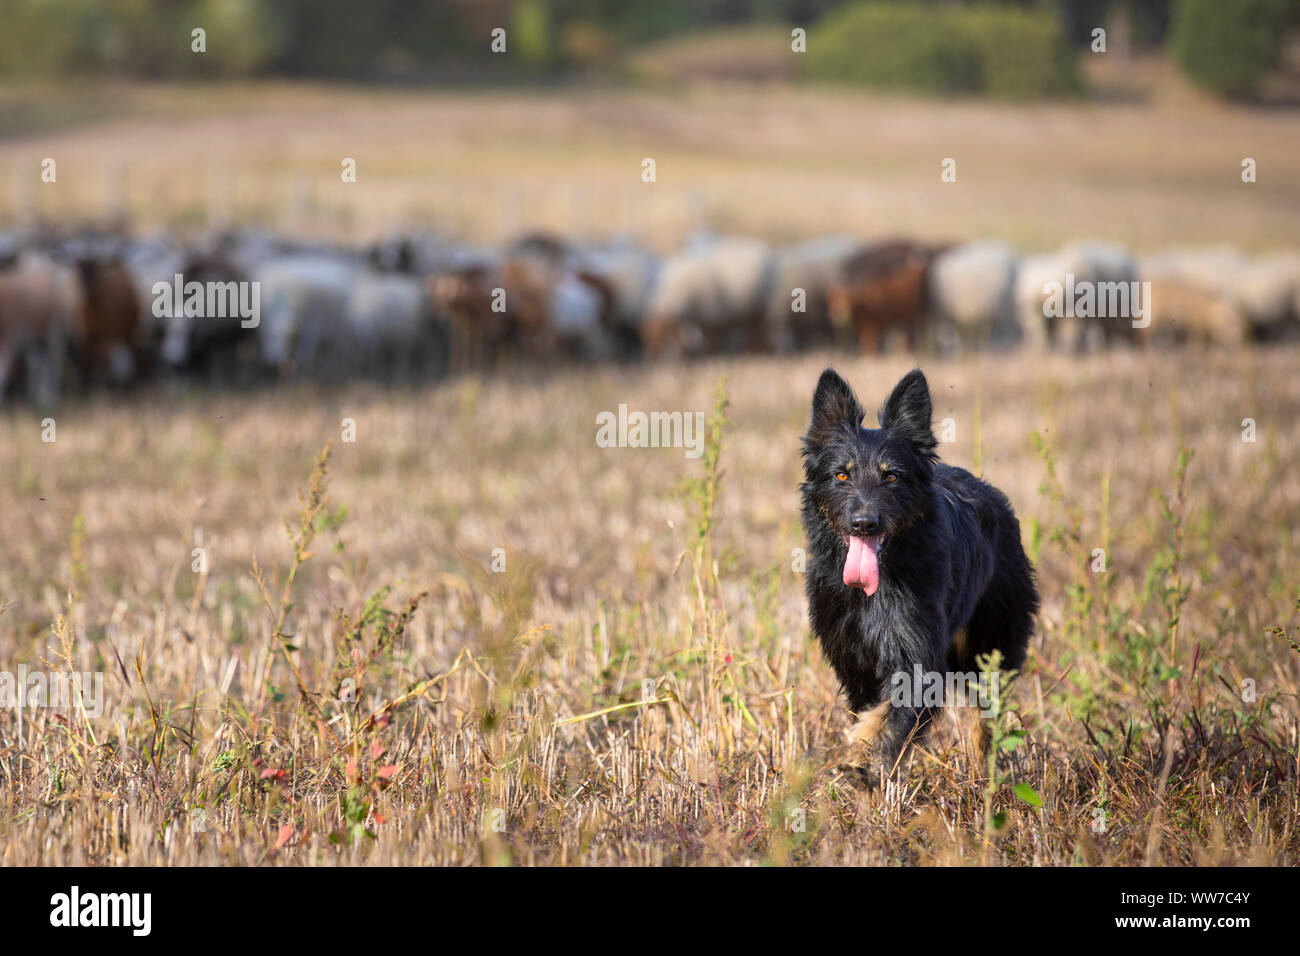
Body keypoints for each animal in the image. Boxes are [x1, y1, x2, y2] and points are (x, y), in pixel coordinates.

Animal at [795, 369, 1040, 775]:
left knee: (986, 711)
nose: (864, 523)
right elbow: (874, 710)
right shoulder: (853, 660)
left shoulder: (917, 657)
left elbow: (890, 715)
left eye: (891, 476)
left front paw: (862, 756)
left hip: (991, 643)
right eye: (842, 475)